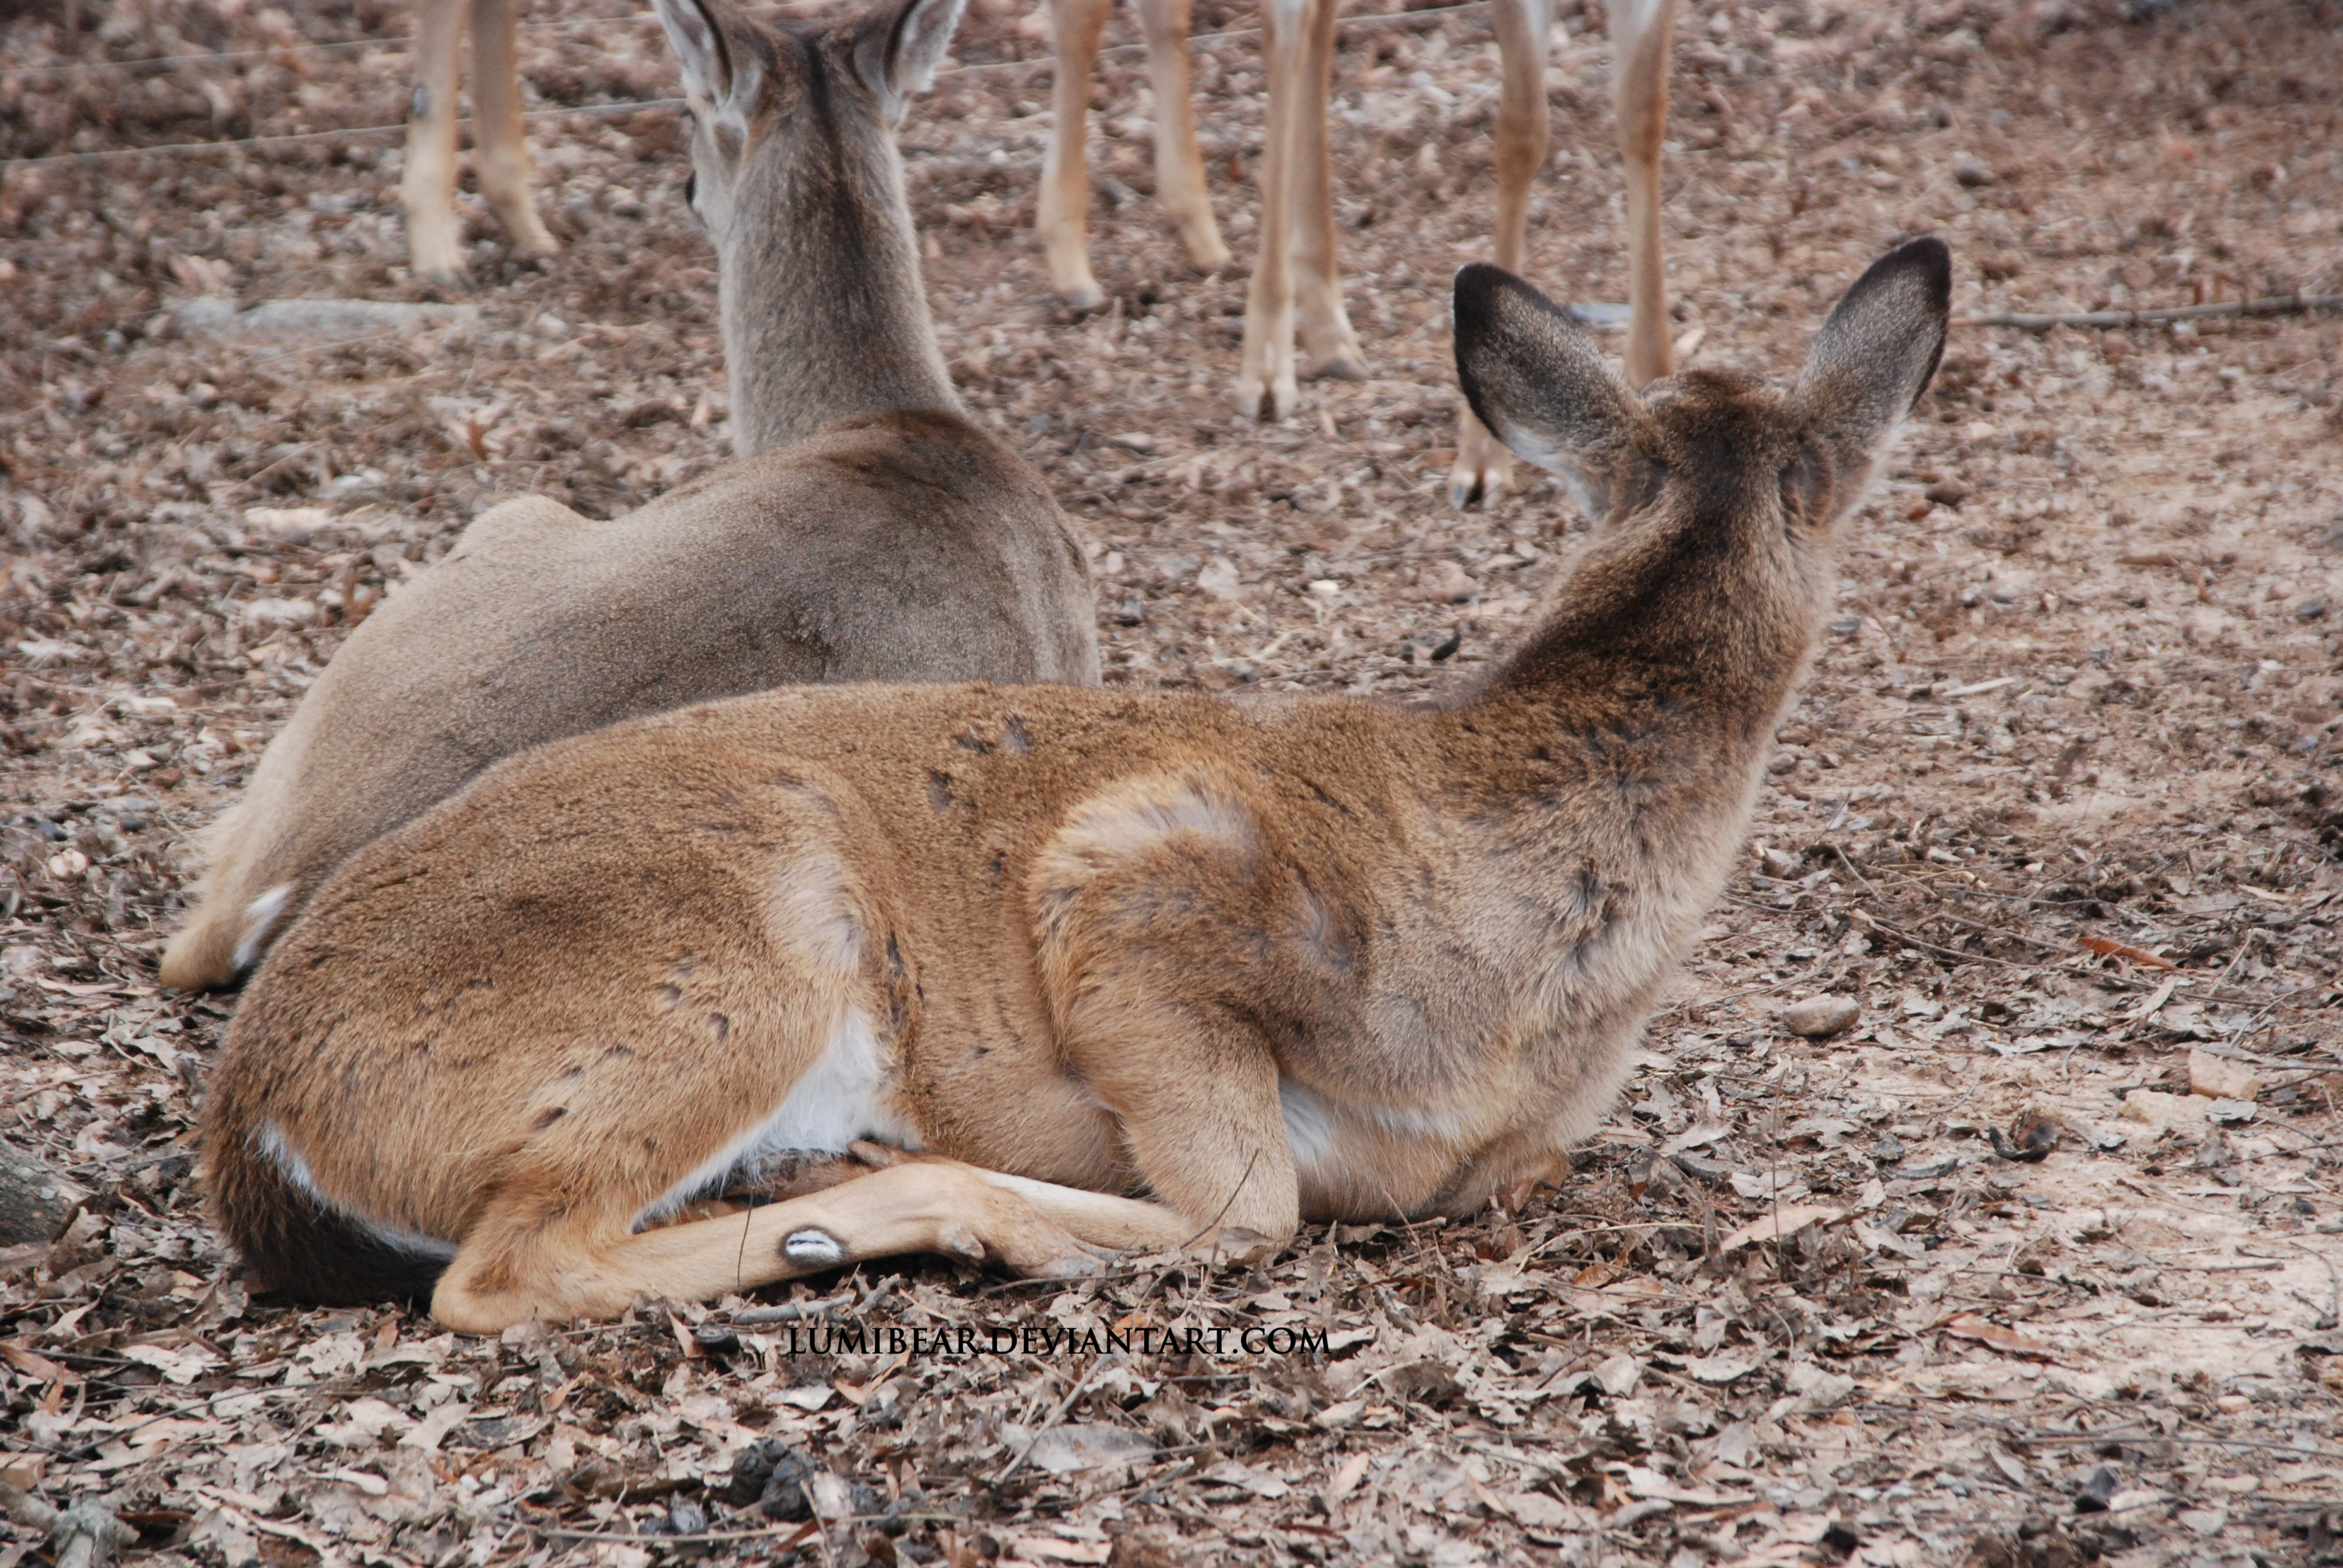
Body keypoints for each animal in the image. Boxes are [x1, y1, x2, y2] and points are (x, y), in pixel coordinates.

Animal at [206, 239, 1958, 1331]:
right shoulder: (1132, 870)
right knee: (504, 1270)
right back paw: (850, 1197)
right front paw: (976, 1206)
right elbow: (1244, 1205)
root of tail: (260, 1114)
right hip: (734, 949)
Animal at [1044, 0, 1686, 501]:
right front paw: (1480, 461)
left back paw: (1297, 307)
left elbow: (1644, 111)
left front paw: (1653, 387)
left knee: (1299, 26)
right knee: (1273, 29)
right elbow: (1522, 129)